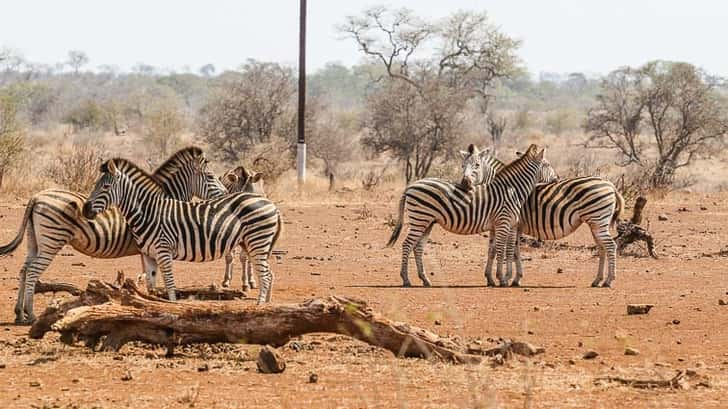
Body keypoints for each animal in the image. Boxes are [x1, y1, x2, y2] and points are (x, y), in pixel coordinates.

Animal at [1, 147, 228, 322]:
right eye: (210, 177)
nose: (227, 195)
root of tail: (36, 197)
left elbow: (150, 280)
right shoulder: (151, 247)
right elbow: (155, 279)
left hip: (35, 241)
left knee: (24, 269)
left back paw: (19, 314)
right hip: (52, 241)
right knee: (32, 271)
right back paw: (31, 315)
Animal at [82, 158, 282, 304]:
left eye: (105, 187)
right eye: (96, 185)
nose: (85, 210)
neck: (148, 212)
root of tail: (271, 204)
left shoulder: (163, 251)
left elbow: (170, 285)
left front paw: (172, 307)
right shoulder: (148, 255)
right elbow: (151, 285)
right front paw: (150, 304)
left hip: (257, 241)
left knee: (265, 275)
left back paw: (259, 306)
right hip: (251, 243)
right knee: (269, 273)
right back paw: (267, 304)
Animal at [386, 143, 544, 286]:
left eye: (477, 165)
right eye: (546, 165)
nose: (553, 180)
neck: (512, 189)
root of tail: (410, 186)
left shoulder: (503, 225)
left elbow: (498, 250)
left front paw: (494, 279)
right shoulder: (504, 223)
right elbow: (503, 250)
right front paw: (503, 279)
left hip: (427, 221)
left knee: (418, 247)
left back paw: (425, 279)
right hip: (420, 218)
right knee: (407, 244)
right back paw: (406, 279)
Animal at [470, 150, 628, 286]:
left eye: (476, 166)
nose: (466, 183)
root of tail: (610, 185)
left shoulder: (511, 225)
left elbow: (507, 250)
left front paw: (507, 278)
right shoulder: (500, 225)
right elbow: (497, 250)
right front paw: (502, 278)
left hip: (598, 220)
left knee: (611, 246)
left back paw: (609, 280)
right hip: (596, 223)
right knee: (602, 248)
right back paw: (598, 280)